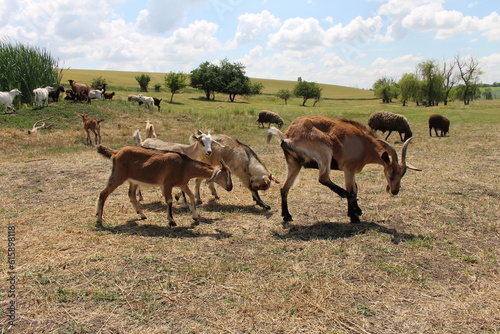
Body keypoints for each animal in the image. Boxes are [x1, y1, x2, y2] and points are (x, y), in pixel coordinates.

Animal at [95, 145, 232, 226]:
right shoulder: (167, 184)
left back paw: (142, 215)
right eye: (225, 175)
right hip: (118, 176)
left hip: (133, 180)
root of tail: (116, 152)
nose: (230, 187)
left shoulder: (183, 184)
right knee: (103, 194)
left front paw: (195, 216)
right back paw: (99, 219)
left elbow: (192, 196)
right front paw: (171, 220)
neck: (184, 166)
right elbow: (169, 200)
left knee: (131, 195)